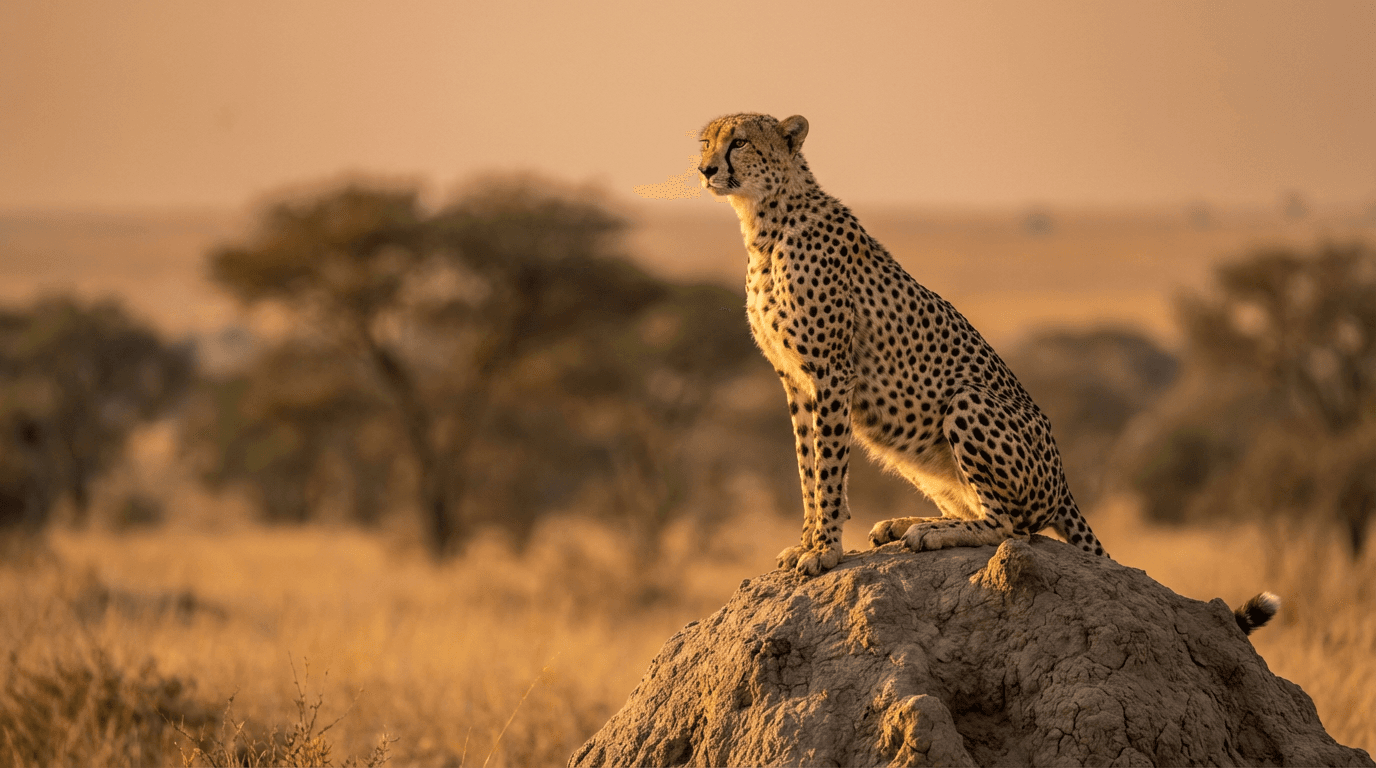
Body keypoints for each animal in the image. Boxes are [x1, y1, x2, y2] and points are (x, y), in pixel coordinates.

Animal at [696, 112, 1279, 636]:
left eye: (740, 141)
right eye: (705, 140)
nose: (705, 169)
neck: (765, 223)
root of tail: (1064, 483)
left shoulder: (830, 375)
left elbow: (828, 470)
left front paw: (824, 550)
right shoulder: (796, 381)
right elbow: (807, 469)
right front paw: (807, 541)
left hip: (967, 401)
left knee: (1010, 527)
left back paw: (931, 533)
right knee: (989, 513)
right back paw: (913, 523)